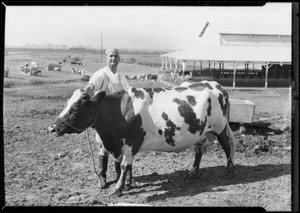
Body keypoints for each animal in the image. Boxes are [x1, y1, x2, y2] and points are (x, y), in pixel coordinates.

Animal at [48, 80, 234, 197]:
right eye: (66, 104)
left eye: (74, 110)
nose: (52, 128)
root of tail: (215, 85)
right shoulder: (121, 145)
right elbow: (125, 165)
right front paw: (128, 185)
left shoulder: (131, 142)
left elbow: (124, 166)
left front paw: (118, 188)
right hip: (201, 132)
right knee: (199, 150)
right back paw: (193, 173)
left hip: (220, 128)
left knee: (227, 147)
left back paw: (229, 171)